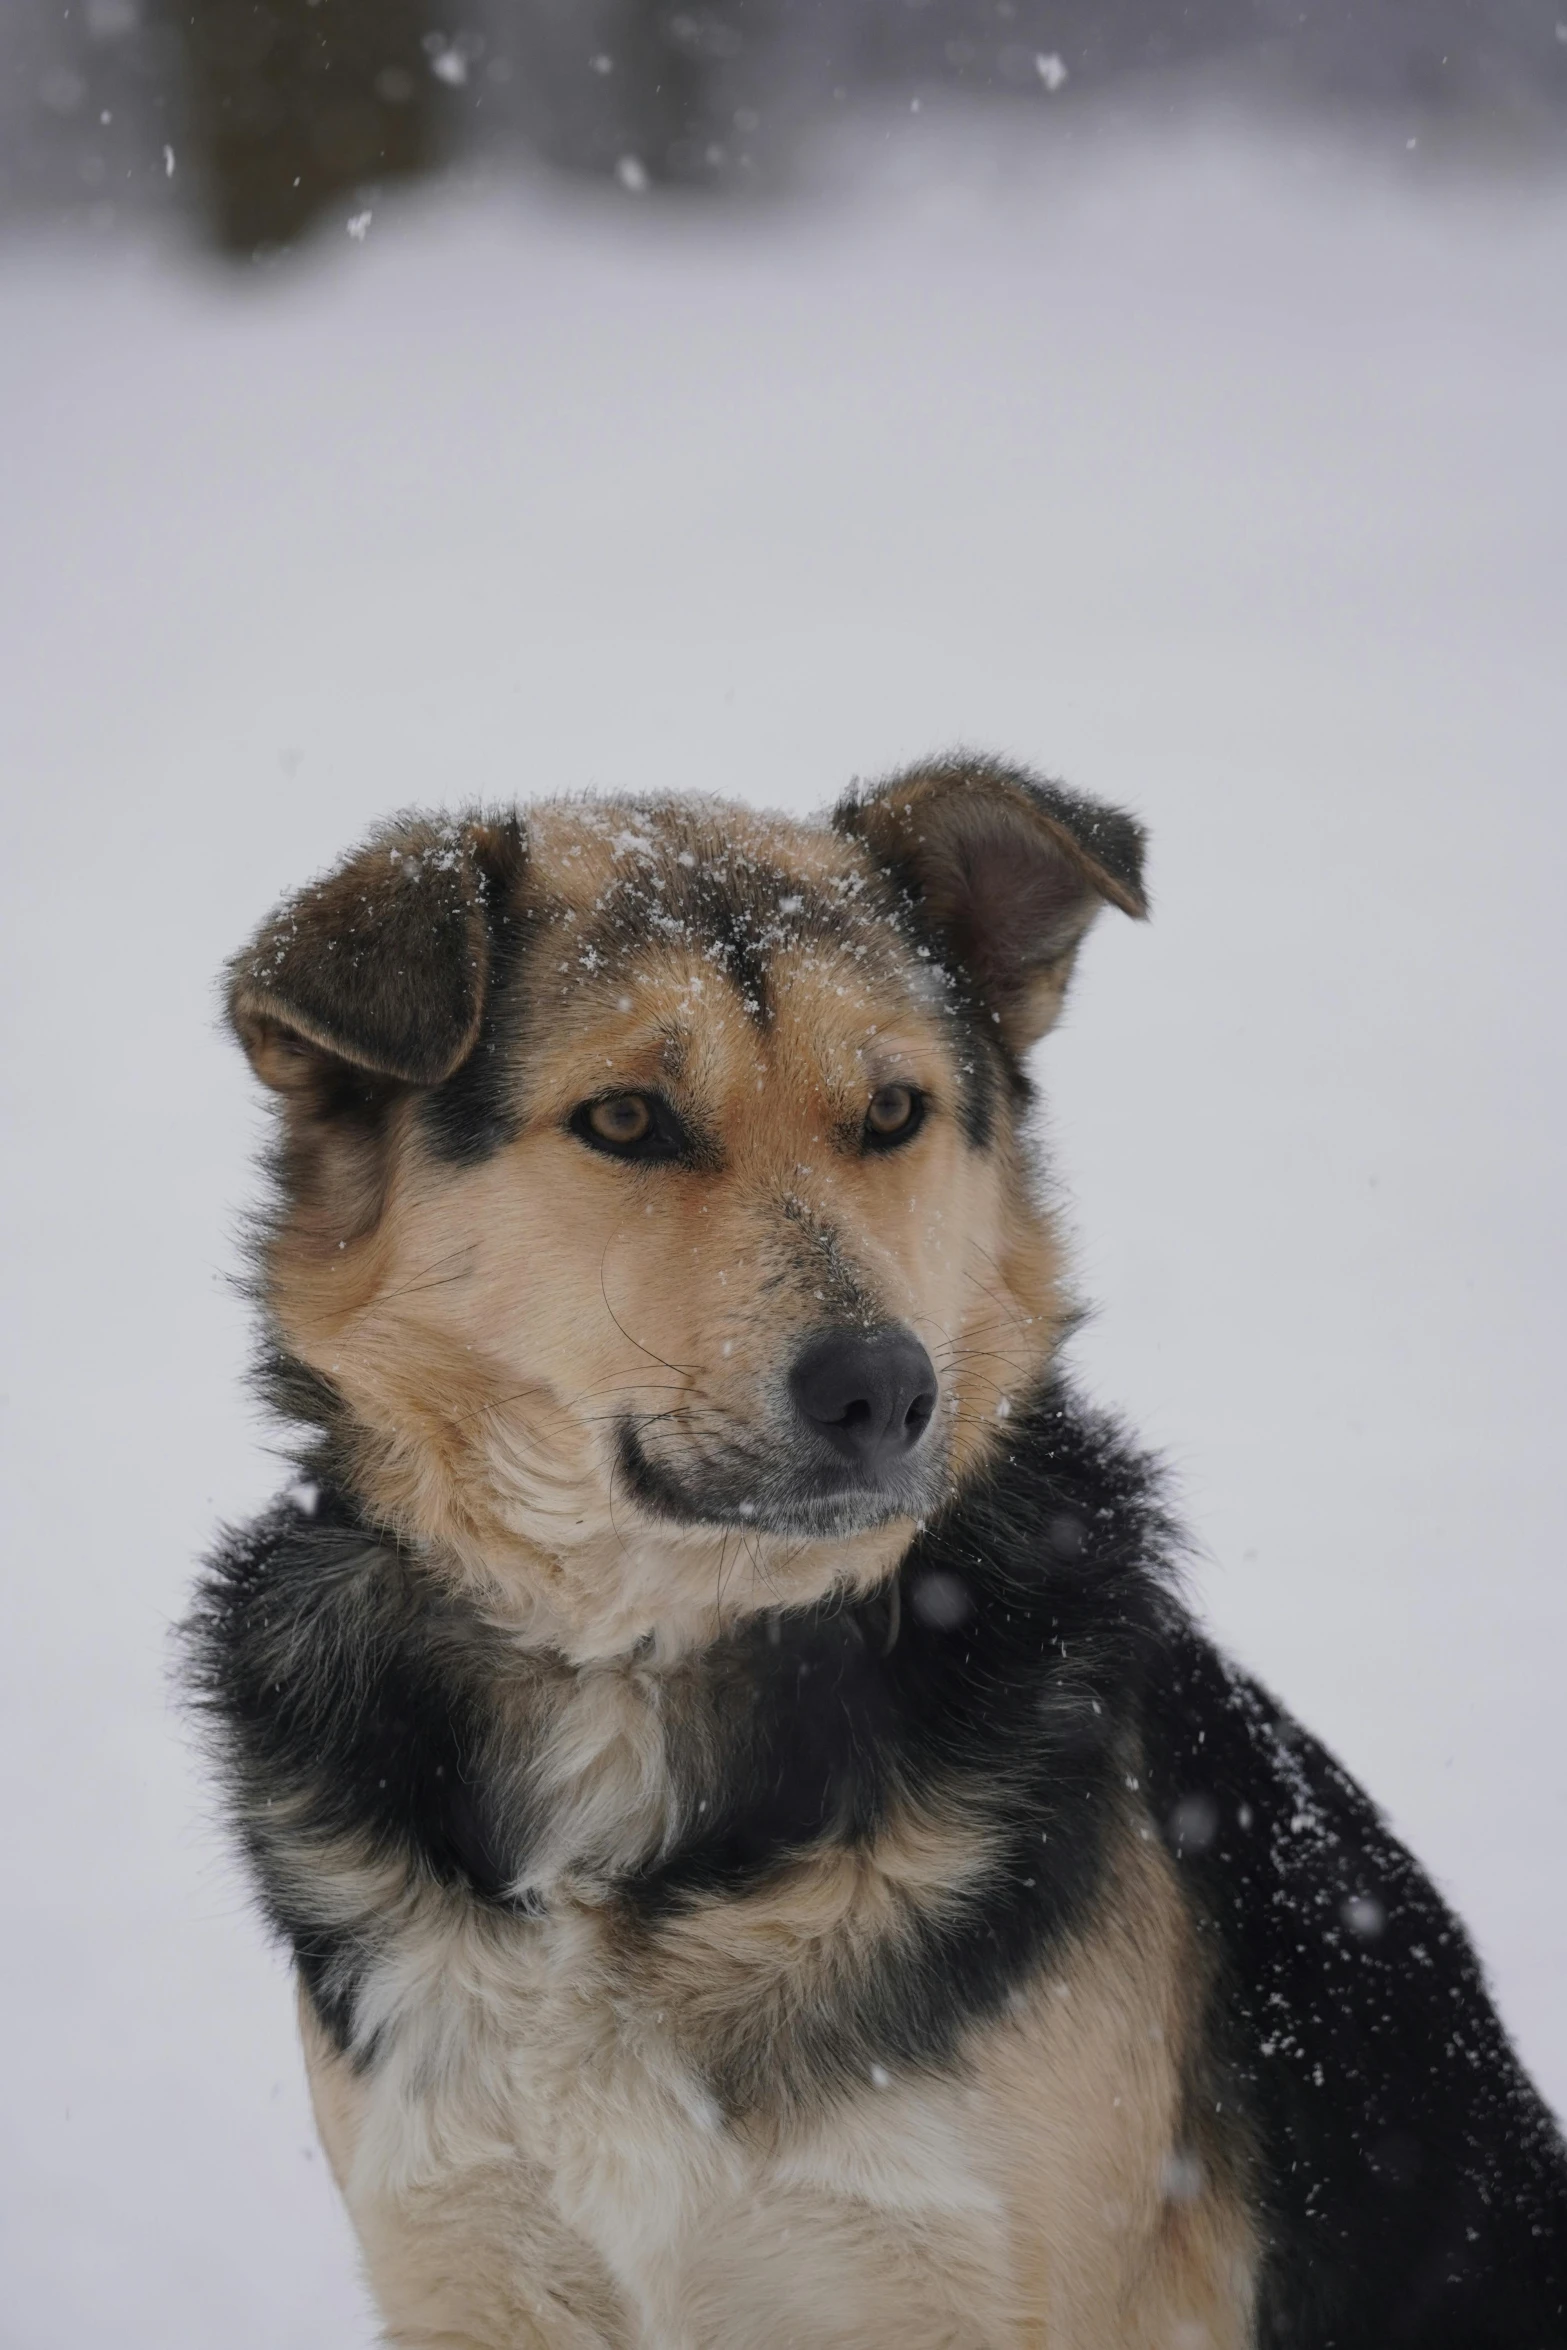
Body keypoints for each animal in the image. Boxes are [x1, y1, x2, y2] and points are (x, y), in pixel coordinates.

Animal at [190, 761, 1559, 2340]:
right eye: (625, 1118)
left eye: (894, 1110)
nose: (883, 1390)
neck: (638, 1673)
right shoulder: (465, 2253)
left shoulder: (957, 2272)